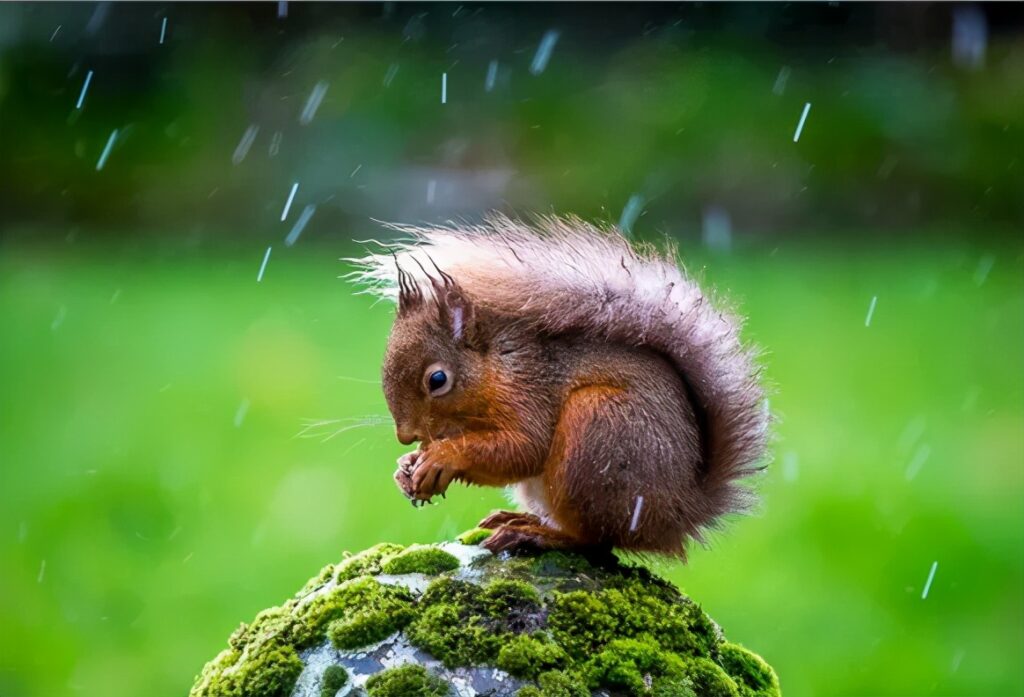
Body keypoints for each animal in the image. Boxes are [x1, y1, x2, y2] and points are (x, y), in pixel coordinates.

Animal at [351, 215, 769, 557]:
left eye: (437, 380)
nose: (406, 436)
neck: (496, 367)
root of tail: (680, 512)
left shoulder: (530, 389)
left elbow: (524, 448)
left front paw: (441, 457)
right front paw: (407, 467)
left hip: (598, 431)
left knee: (596, 540)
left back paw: (536, 534)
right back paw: (517, 519)